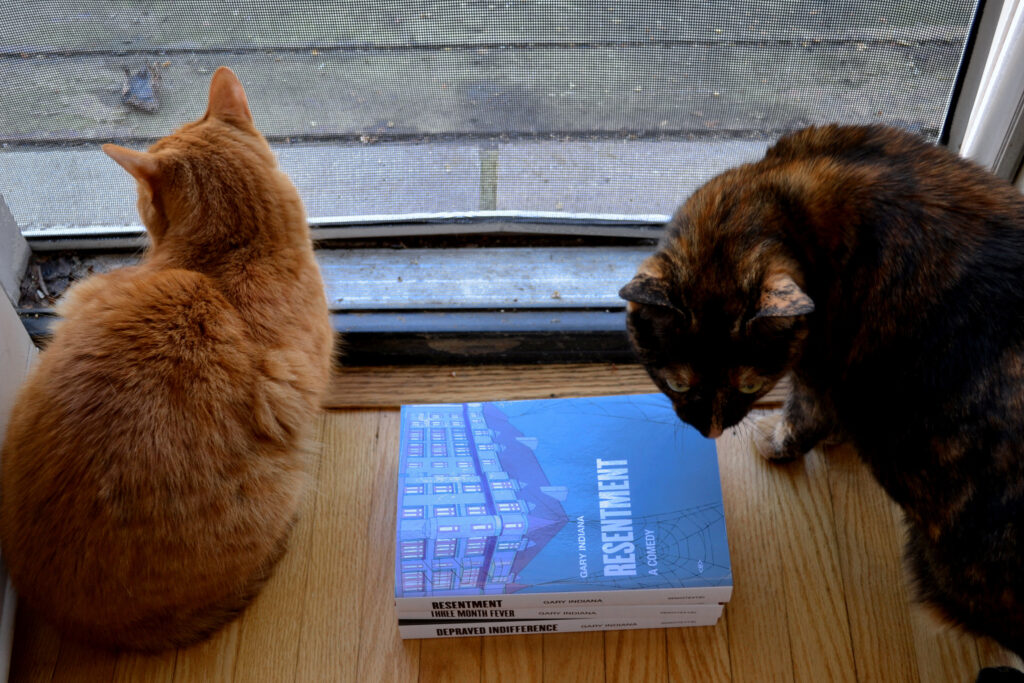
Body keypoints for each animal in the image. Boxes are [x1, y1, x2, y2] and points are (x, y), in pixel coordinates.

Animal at [622, 125, 1024, 679]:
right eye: (678, 386)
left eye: (751, 387)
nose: (712, 431)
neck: (783, 201)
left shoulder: (823, 370)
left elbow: (804, 416)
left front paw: (776, 443)